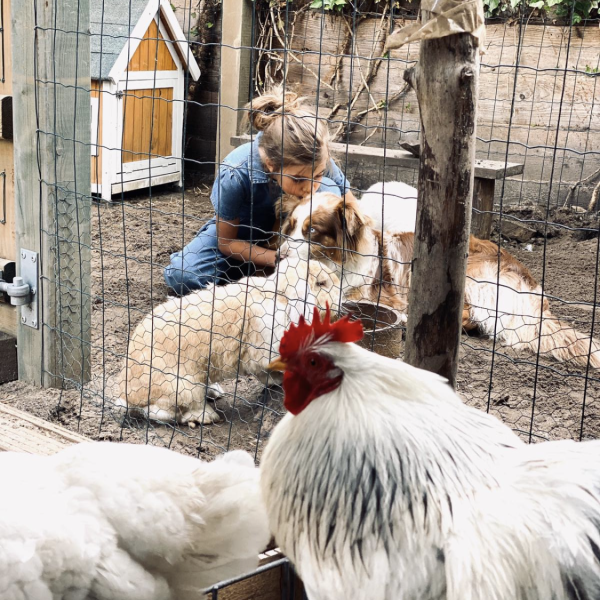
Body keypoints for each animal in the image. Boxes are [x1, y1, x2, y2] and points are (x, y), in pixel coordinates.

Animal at [278, 192, 600, 370]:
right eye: (290, 227)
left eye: (313, 231)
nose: (279, 255)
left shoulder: (384, 295)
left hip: (470, 276)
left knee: (470, 317)